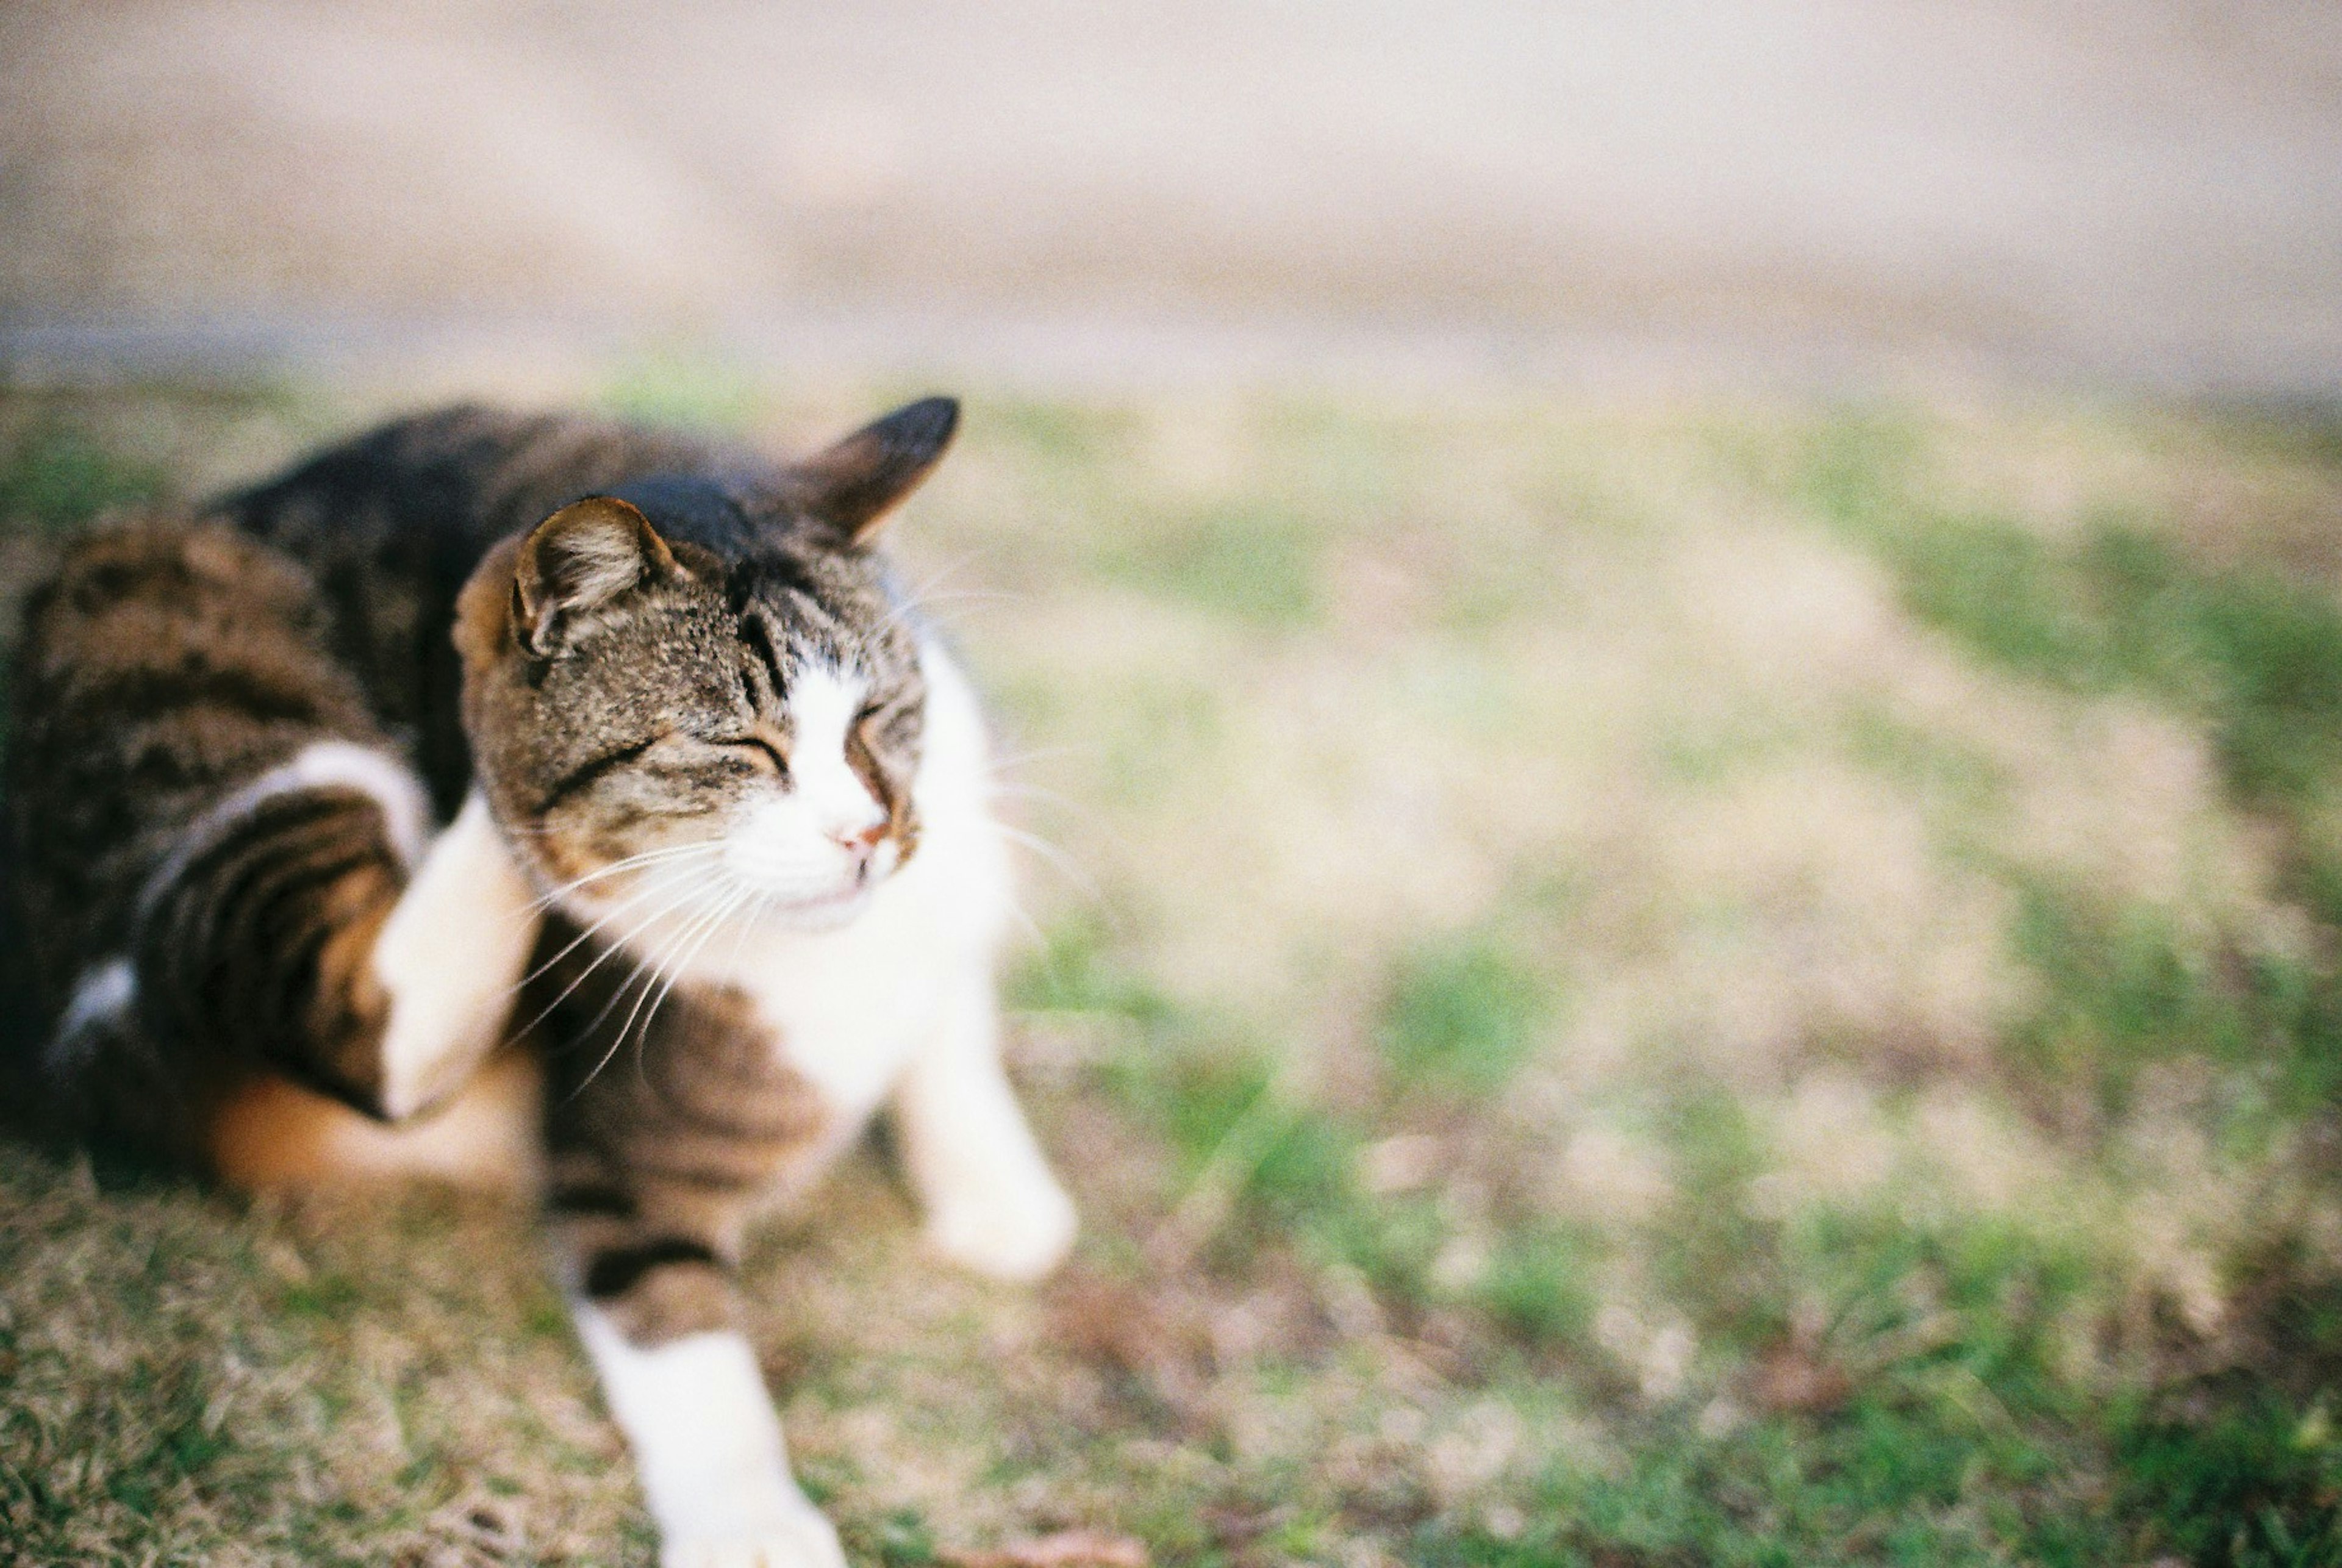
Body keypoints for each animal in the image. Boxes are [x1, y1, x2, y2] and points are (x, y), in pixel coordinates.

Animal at [4, 403, 1072, 1568]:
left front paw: (996, 1191)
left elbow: (954, 1031)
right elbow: (685, 1350)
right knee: (365, 1024)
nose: (873, 832)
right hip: (168, 633)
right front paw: (752, 1525)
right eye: (739, 744)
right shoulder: (625, 1163)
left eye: (880, 711)